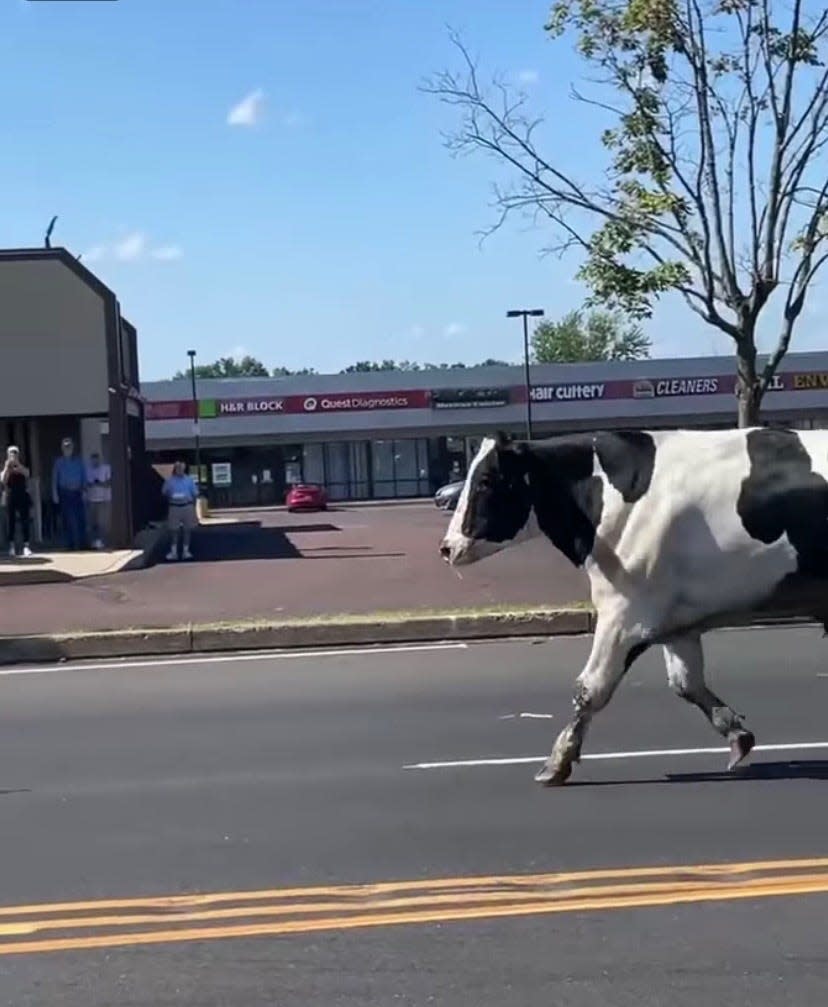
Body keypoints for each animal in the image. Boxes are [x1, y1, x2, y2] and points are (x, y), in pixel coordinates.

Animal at [441, 424, 828, 785]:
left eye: (486, 480)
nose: (447, 547)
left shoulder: (624, 613)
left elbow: (590, 687)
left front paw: (557, 762)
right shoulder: (677, 621)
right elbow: (686, 683)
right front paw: (736, 734)